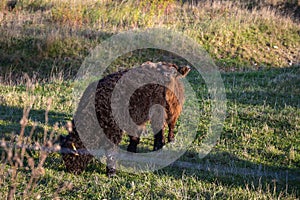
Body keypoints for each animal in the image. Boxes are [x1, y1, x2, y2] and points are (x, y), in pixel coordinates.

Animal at [60, 61, 190, 176]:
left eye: (72, 157)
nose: (73, 171)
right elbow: (134, 136)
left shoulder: (113, 131)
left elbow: (111, 151)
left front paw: (111, 172)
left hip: (165, 110)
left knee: (165, 128)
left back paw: (164, 144)